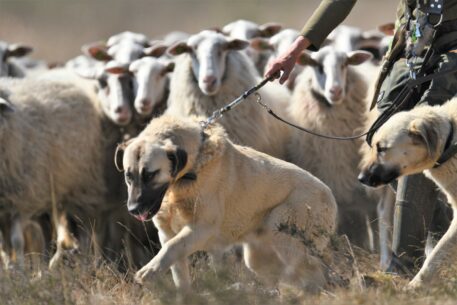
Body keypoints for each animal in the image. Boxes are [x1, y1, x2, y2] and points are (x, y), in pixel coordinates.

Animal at [116, 115, 338, 290]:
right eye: (128, 176)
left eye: (150, 174)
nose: (133, 209)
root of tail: (330, 195)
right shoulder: (167, 233)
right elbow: (177, 266)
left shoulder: (201, 229)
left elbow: (172, 247)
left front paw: (148, 271)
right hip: (258, 257)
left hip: (285, 236)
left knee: (314, 276)